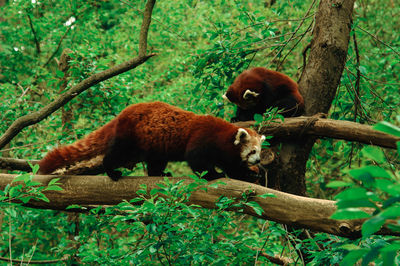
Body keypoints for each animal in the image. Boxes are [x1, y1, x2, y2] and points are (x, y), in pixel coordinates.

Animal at [38, 101, 266, 183]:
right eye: (253, 151)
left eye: (259, 152)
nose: (257, 161)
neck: (222, 136)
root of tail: (122, 115)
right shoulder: (202, 139)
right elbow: (197, 161)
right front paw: (213, 175)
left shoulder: (225, 153)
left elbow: (232, 166)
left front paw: (248, 174)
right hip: (130, 138)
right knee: (115, 154)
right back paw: (112, 171)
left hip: (154, 144)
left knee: (156, 161)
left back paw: (159, 173)